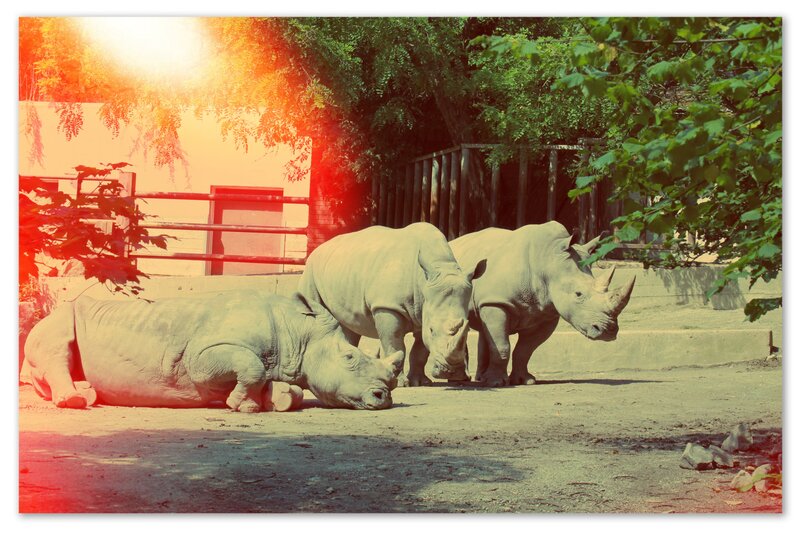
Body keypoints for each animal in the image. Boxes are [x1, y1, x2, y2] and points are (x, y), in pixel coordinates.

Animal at [20, 291, 404, 411]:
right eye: (350, 358)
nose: (383, 396)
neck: (297, 333)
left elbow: (280, 383)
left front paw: (275, 399)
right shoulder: (202, 355)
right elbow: (251, 367)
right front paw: (243, 406)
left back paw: (89, 393)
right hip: (56, 319)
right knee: (55, 347)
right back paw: (75, 401)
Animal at [298, 222, 485, 387]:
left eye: (466, 327)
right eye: (432, 330)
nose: (451, 372)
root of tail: (320, 247)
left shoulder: (423, 311)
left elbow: (420, 350)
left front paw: (421, 382)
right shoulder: (388, 306)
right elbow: (395, 344)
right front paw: (401, 383)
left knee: (349, 324)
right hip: (311, 269)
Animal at [449, 222, 636, 387]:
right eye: (578, 294)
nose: (608, 331)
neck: (548, 259)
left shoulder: (547, 313)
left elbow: (525, 350)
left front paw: (525, 381)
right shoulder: (497, 302)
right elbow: (502, 346)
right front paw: (496, 383)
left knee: (485, 328)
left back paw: (481, 378)